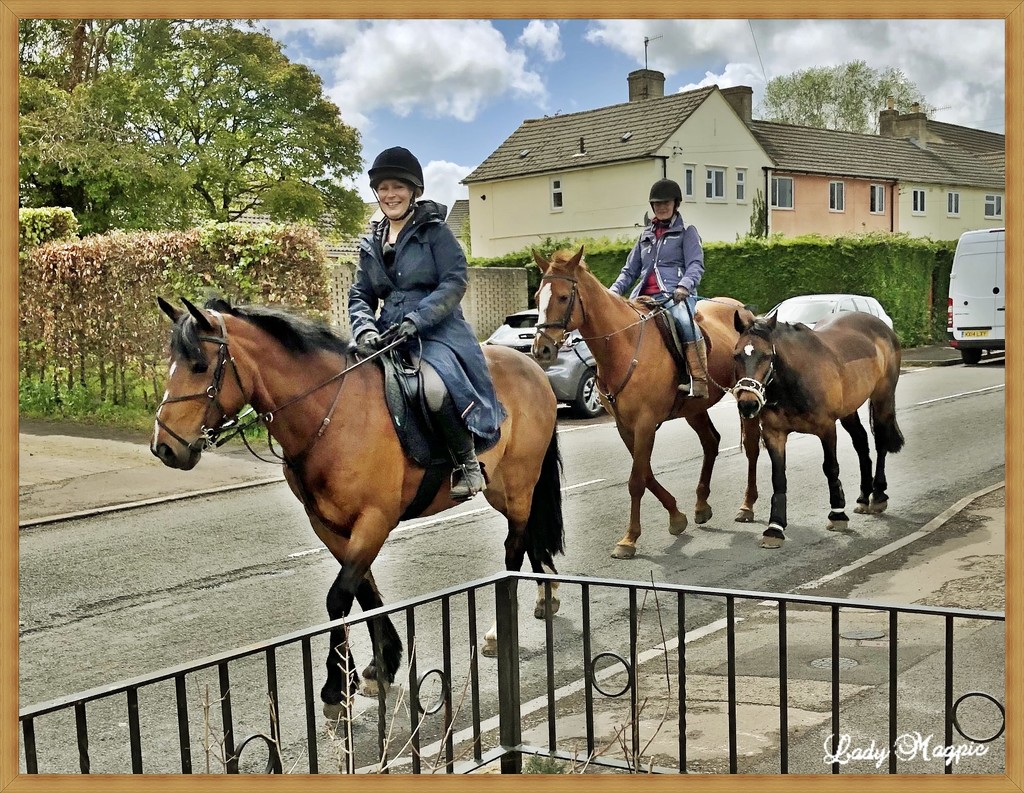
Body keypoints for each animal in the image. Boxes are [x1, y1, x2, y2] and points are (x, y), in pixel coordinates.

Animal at [153, 299, 569, 721]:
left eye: (199, 366)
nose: (164, 446)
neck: (331, 413)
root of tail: (531, 367)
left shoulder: (374, 521)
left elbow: (339, 596)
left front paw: (335, 687)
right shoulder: (330, 527)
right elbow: (365, 593)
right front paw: (381, 664)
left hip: (517, 485)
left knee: (514, 548)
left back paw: (502, 629)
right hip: (506, 490)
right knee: (528, 537)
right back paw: (546, 595)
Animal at [528, 247, 761, 557]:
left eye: (564, 297)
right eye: (536, 297)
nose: (540, 348)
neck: (623, 345)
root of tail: (743, 309)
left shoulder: (646, 422)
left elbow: (636, 480)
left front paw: (629, 538)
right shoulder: (625, 426)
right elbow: (645, 473)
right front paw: (676, 516)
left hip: (747, 401)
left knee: (751, 447)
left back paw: (747, 505)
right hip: (694, 409)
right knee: (711, 443)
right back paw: (701, 505)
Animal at [729, 313, 905, 549]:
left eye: (766, 355)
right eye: (736, 355)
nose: (748, 404)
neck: (794, 380)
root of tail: (882, 327)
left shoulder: (826, 428)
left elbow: (831, 468)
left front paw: (837, 514)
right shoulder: (774, 434)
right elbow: (779, 477)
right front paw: (775, 527)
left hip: (882, 398)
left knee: (881, 442)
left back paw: (877, 495)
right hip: (849, 410)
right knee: (861, 442)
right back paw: (863, 496)